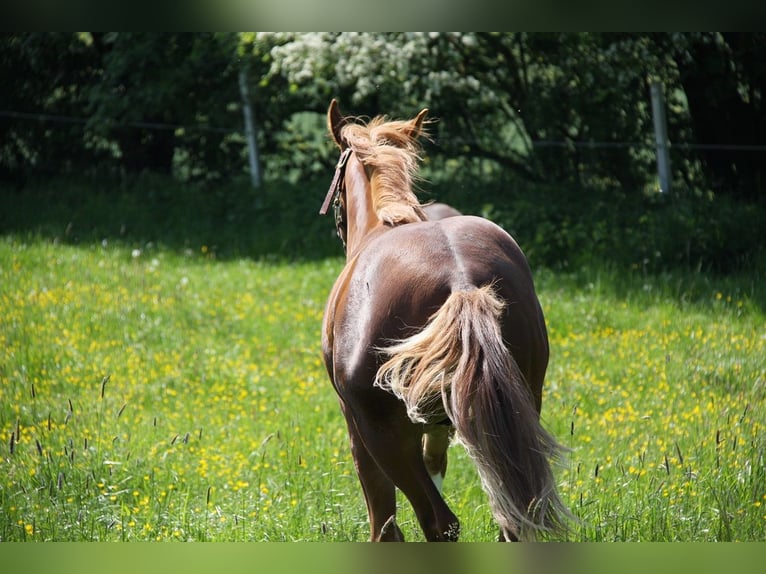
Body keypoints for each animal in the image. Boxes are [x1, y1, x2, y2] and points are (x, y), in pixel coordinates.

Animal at [320, 100, 568, 544]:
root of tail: (461, 280)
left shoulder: (358, 428)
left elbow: (384, 522)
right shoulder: (440, 428)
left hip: (385, 436)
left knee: (438, 521)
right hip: (515, 416)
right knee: (512, 519)